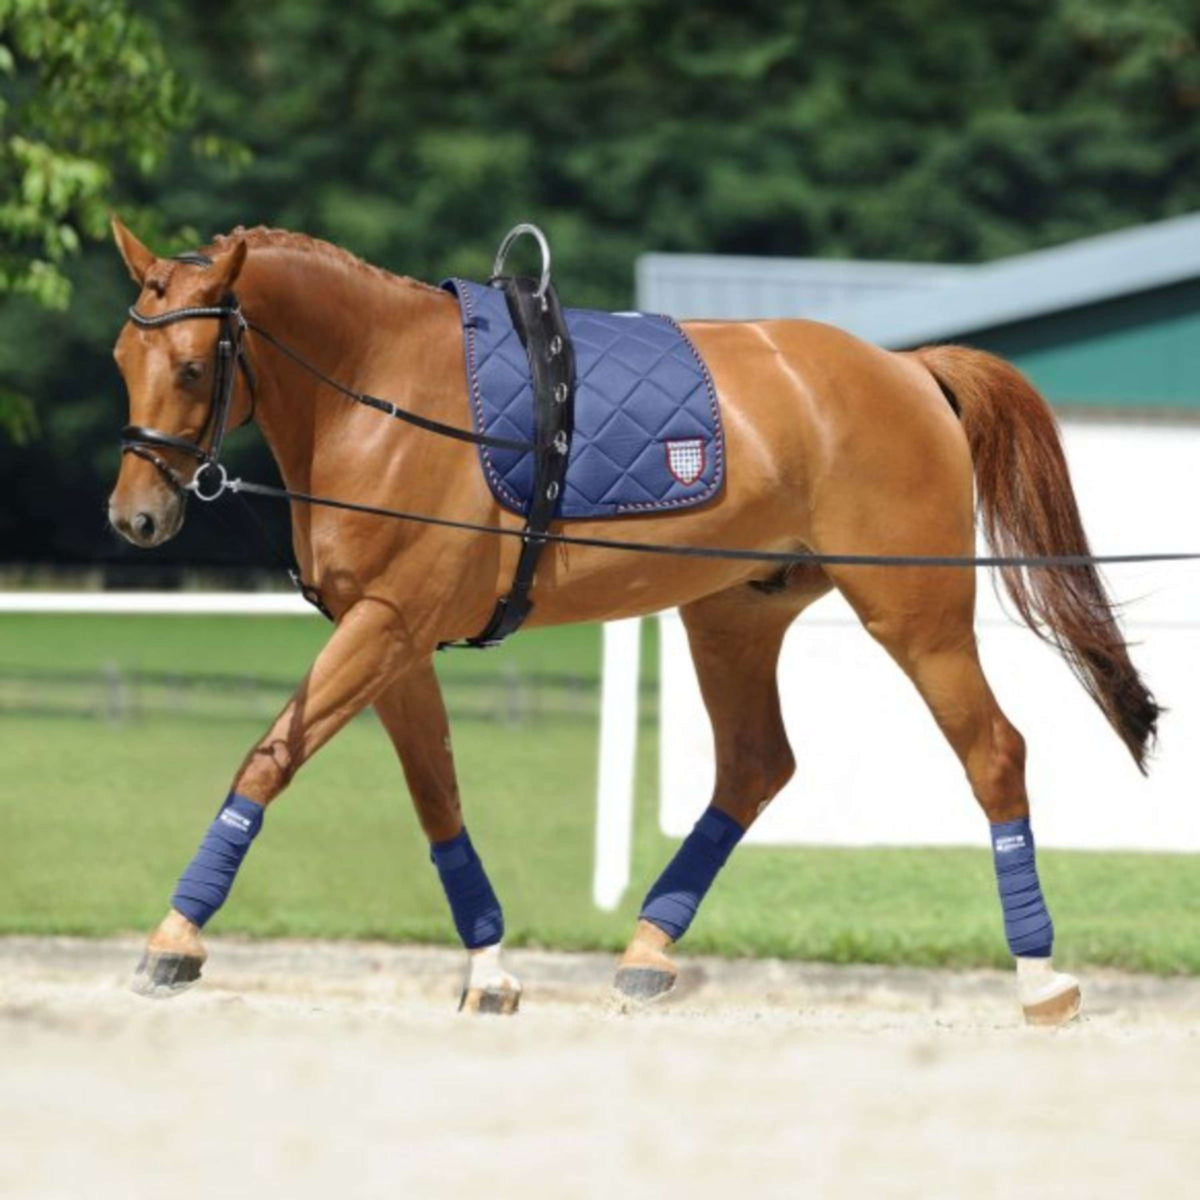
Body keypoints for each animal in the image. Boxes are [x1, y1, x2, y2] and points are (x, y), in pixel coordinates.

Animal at [110, 218, 1152, 1022]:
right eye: (124, 359)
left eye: (196, 368)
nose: (135, 518)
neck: (381, 391)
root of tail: (906, 370)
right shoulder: (396, 640)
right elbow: (437, 797)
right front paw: (490, 969)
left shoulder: (386, 625)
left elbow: (268, 759)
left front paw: (174, 937)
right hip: (734, 617)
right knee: (756, 767)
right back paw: (648, 952)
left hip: (915, 616)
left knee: (994, 753)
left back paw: (1041, 980)